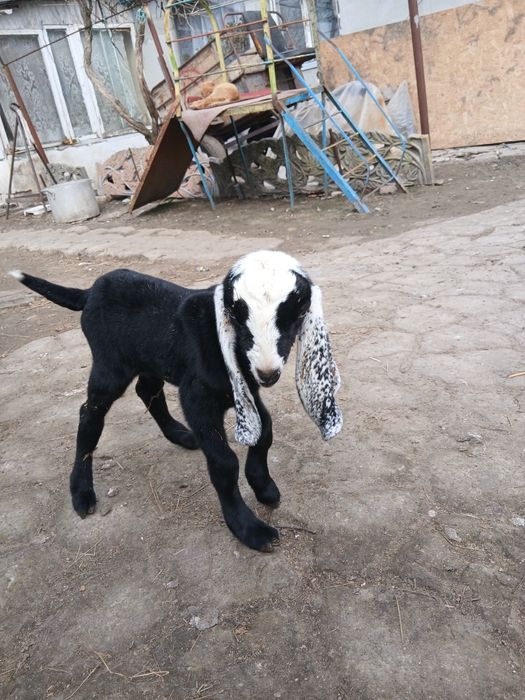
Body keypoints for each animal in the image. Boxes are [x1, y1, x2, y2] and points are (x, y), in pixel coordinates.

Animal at [9, 250, 342, 552]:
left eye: (296, 314)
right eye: (236, 315)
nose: (268, 372)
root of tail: (89, 292)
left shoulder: (244, 390)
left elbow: (266, 430)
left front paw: (264, 486)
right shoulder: (197, 395)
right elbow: (224, 463)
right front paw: (248, 528)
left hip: (149, 358)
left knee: (147, 390)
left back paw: (181, 435)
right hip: (110, 365)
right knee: (89, 414)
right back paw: (81, 492)